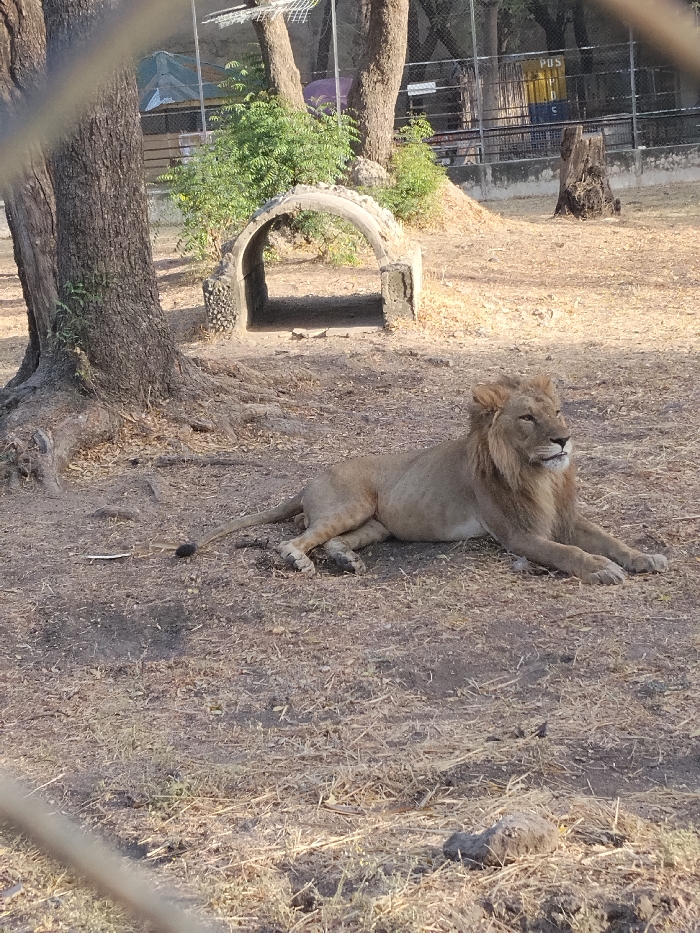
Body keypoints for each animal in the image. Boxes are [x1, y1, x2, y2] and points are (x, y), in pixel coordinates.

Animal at [175, 374, 668, 584]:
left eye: (559, 411)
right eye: (527, 418)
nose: (564, 440)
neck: (537, 475)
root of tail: (308, 480)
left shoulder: (563, 516)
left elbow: (608, 538)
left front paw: (644, 558)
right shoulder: (518, 535)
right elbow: (567, 552)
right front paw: (601, 569)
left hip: (375, 524)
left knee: (333, 542)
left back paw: (347, 561)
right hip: (353, 504)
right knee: (293, 541)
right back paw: (300, 561)